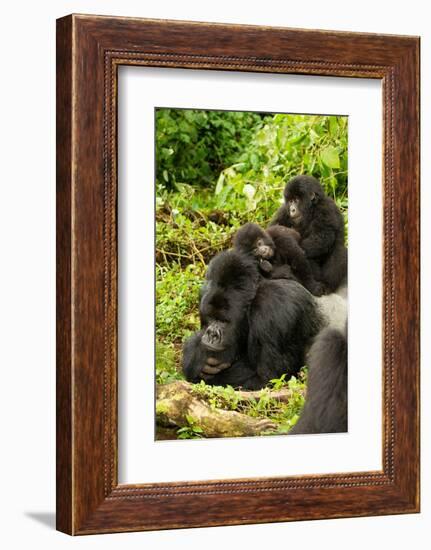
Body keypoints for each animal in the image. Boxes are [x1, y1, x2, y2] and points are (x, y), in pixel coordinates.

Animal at [183, 250, 338, 392]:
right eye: (211, 317)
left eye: (223, 321)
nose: (211, 334)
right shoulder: (205, 292)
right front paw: (196, 352)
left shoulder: (274, 304)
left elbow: (266, 379)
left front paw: (196, 357)